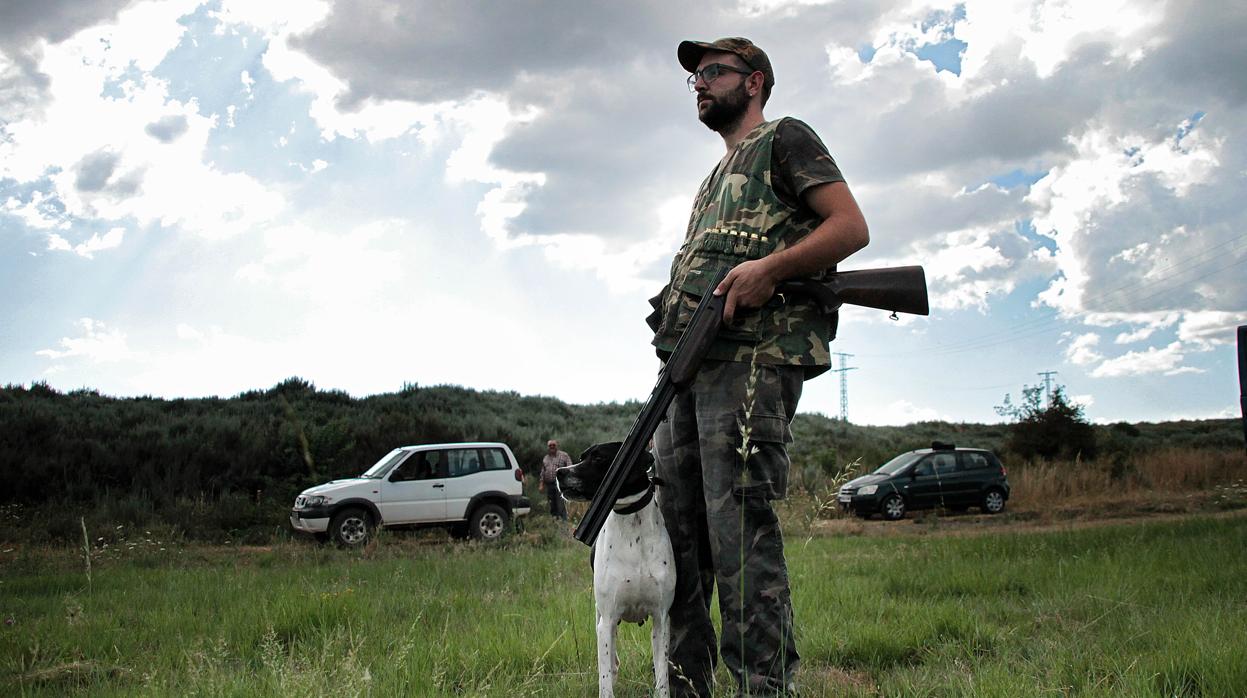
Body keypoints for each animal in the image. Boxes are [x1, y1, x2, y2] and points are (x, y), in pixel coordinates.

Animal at [556, 441, 673, 698]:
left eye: (599, 458)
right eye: (582, 457)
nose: (559, 472)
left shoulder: (661, 618)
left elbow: (662, 675)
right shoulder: (607, 618)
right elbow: (605, 677)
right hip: (601, 616)